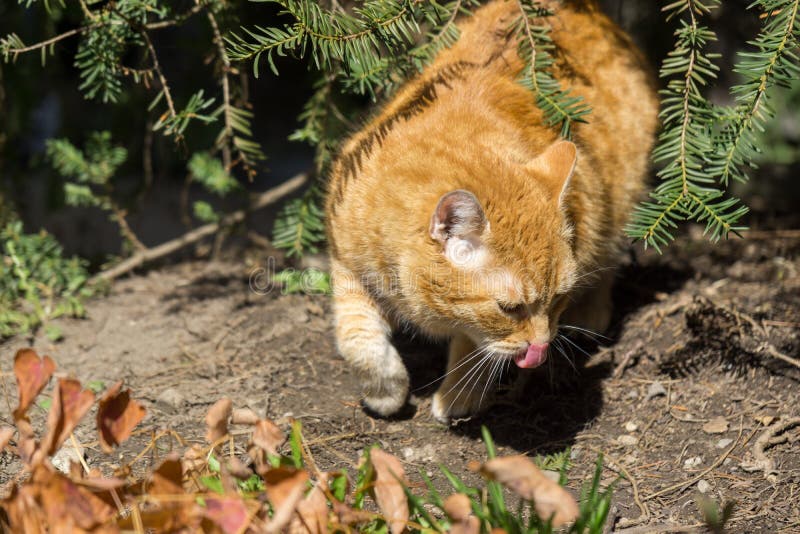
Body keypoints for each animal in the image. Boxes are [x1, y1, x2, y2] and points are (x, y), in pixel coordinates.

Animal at [324, 0, 656, 422]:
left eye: (558, 299)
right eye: (510, 308)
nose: (541, 345)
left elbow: (472, 344)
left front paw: (460, 395)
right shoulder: (345, 260)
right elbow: (356, 335)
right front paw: (384, 388)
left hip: (617, 198)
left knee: (609, 259)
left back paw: (590, 314)